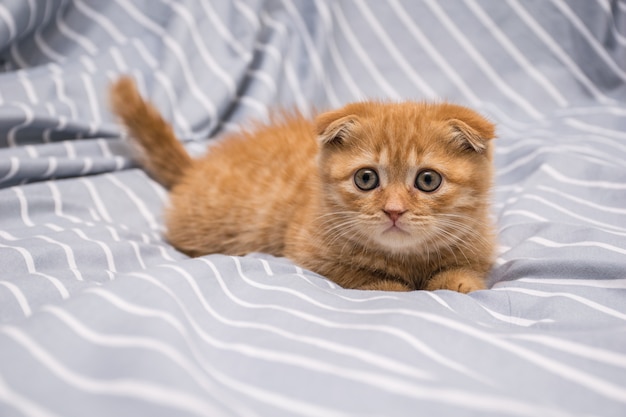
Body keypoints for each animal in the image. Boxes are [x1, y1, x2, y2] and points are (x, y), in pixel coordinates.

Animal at [109, 78, 494, 292]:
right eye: (366, 178)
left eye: (427, 180)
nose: (394, 211)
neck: (407, 259)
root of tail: (197, 167)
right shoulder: (305, 250)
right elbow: (353, 273)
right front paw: (388, 283)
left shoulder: (480, 245)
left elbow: (469, 269)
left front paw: (457, 281)